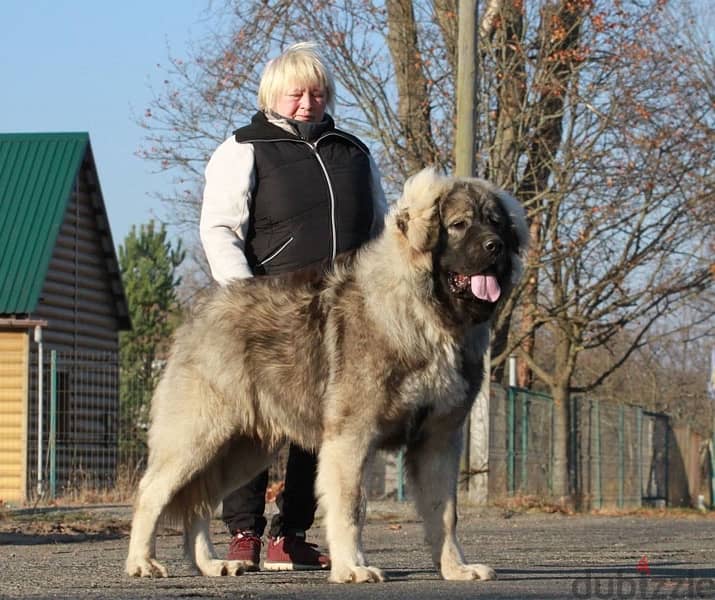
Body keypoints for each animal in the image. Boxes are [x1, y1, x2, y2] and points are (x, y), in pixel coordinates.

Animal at [127, 166, 532, 584]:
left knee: (200, 503)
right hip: (198, 437)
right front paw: (352, 566)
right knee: (152, 493)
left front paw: (455, 568)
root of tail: (197, 316)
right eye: (459, 225)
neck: (425, 313)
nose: (495, 247)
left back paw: (209, 563)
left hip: (242, 449)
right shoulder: (352, 436)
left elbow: (446, 514)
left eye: (496, 224)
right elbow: (351, 507)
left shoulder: (437, 441)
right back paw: (143, 562)